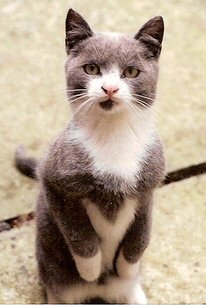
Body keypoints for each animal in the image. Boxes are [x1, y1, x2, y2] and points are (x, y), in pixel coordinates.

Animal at [15, 8, 165, 302]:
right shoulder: (54, 179)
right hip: (54, 278)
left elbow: (142, 234)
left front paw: (128, 268)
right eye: (92, 69)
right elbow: (78, 232)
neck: (112, 135)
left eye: (131, 71)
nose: (110, 88)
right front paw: (90, 270)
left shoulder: (148, 186)